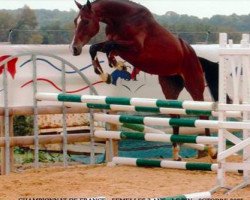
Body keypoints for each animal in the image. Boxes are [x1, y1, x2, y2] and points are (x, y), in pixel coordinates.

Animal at [70, 0, 217, 160]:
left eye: (85, 21)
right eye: (75, 21)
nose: (75, 49)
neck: (121, 19)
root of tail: (194, 55)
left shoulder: (134, 47)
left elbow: (105, 46)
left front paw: (110, 71)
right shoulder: (117, 45)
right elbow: (100, 48)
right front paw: (112, 70)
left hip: (194, 84)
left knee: (202, 114)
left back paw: (211, 150)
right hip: (169, 86)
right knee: (175, 116)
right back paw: (176, 154)